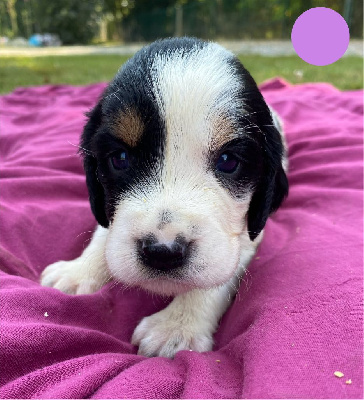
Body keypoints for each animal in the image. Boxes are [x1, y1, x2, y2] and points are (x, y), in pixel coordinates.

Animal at [41, 36, 288, 356]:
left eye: (228, 161)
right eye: (120, 158)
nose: (162, 252)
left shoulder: (246, 233)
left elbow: (218, 272)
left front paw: (177, 326)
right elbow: (105, 234)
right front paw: (79, 271)